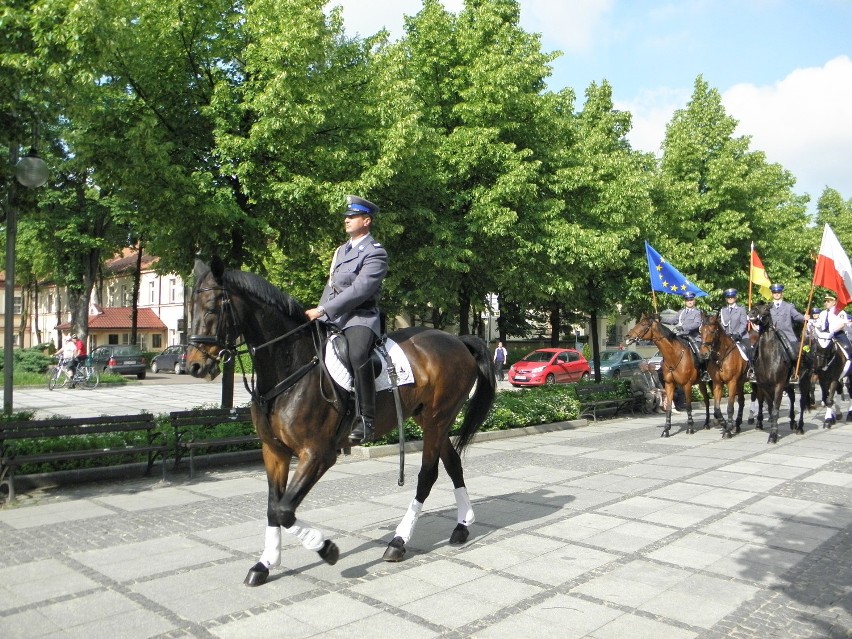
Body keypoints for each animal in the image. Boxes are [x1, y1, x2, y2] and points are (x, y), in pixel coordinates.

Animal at [185, 258, 492, 584]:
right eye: (189, 309)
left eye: (211, 308)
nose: (193, 365)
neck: (290, 367)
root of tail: (456, 340)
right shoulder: (274, 451)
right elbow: (272, 507)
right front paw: (265, 563)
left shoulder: (317, 454)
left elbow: (284, 510)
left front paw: (325, 548)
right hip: (432, 421)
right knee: (453, 463)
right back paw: (462, 526)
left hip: (436, 420)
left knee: (427, 475)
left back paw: (399, 542)